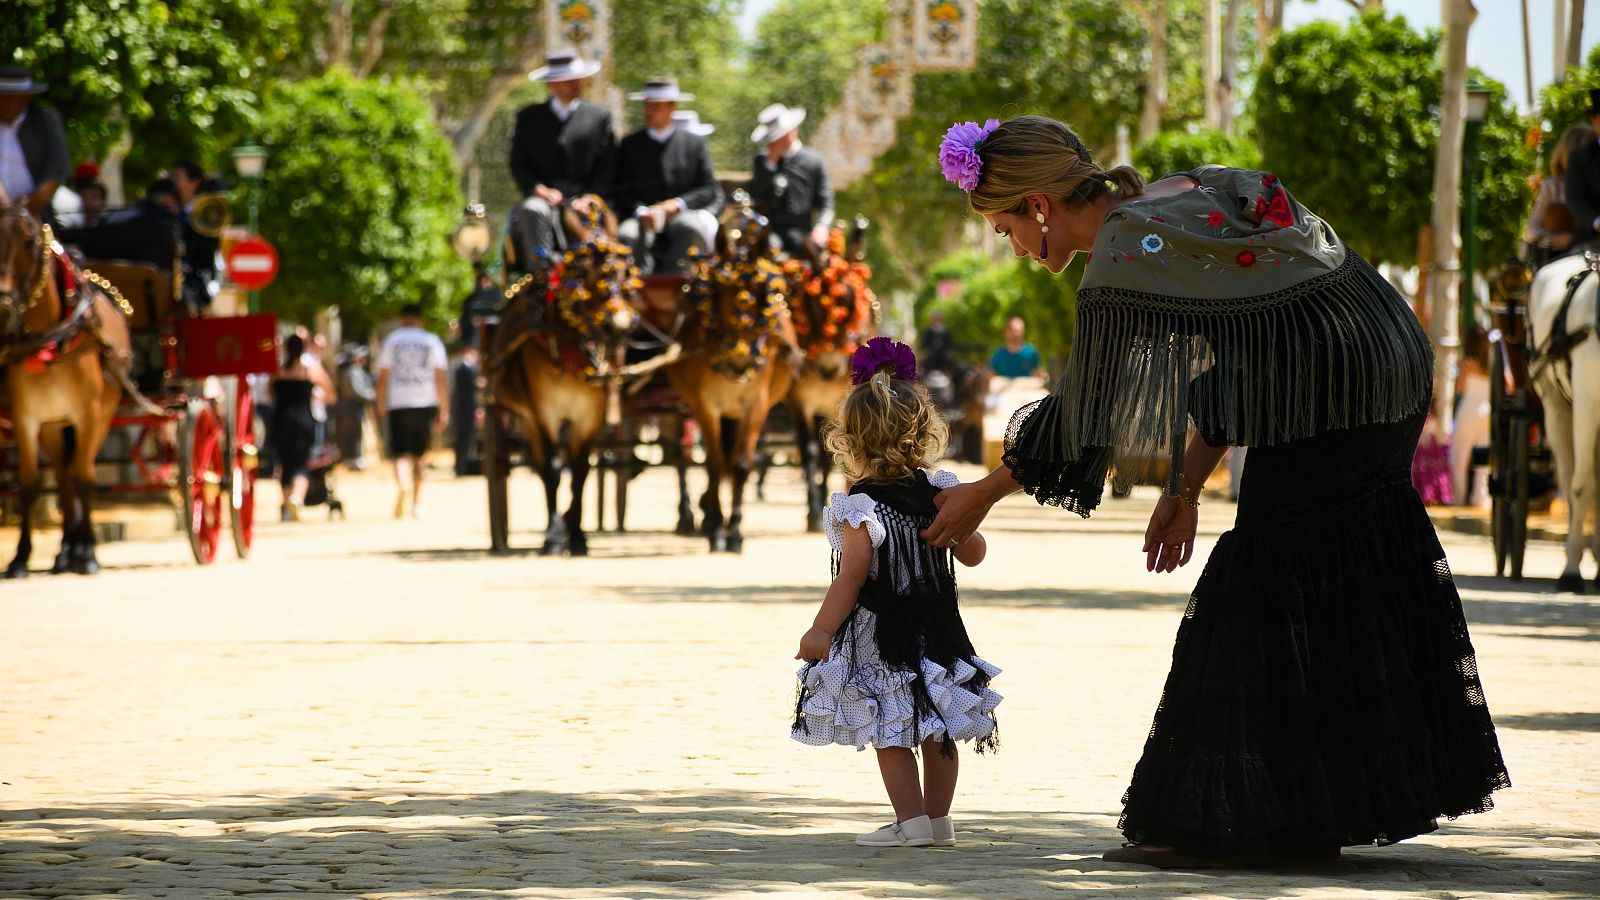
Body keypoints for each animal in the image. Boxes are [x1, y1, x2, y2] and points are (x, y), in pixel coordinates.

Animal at [0, 193, 132, 576]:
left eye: (29, 241)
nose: (3, 302)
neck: (52, 339)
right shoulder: (27, 418)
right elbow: (29, 486)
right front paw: (20, 557)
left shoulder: (87, 415)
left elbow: (86, 480)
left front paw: (88, 554)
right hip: (54, 425)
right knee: (62, 478)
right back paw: (63, 551)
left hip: (101, 416)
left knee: (77, 474)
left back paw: (77, 549)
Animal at [486, 196, 636, 554]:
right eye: (583, 272)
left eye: (626, 271)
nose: (618, 328)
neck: (571, 343)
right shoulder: (544, 411)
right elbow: (554, 470)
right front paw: (555, 535)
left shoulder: (592, 414)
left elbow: (580, 469)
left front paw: (577, 534)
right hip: (525, 415)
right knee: (541, 463)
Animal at [662, 196, 793, 550]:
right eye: (717, 294)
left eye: (764, 297)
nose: (739, 362)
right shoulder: (706, 406)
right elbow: (715, 462)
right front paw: (718, 530)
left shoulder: (756, 404)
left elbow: (741, 463)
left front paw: (733, 530)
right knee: (684, 457)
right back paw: (698, 515)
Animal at [784, 216, 876, 528]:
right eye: (810, 304)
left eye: (852, 306)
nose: (829, 367)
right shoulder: (799, 402)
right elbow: (810, 450)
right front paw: (813, 510)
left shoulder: (838, 405)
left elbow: (831, 452)